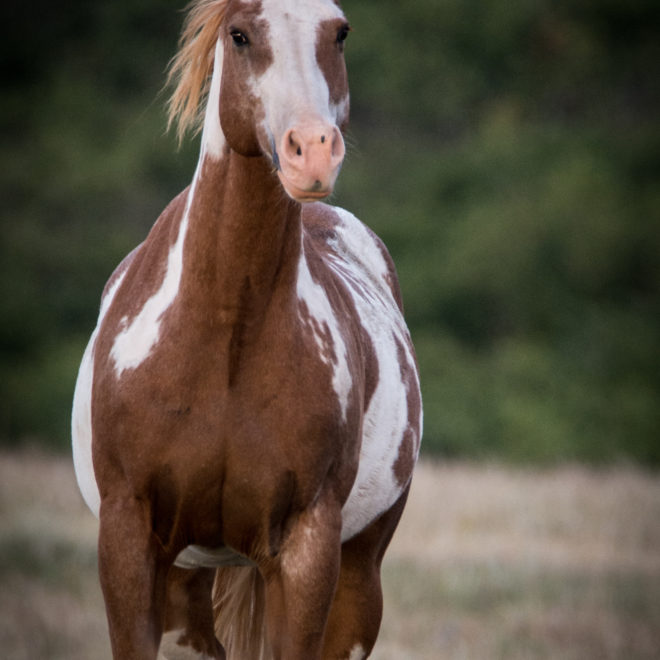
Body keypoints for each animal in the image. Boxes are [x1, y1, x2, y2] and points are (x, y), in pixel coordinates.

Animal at [72, 1, 422, 660]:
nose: (312, 152)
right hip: (187, 578)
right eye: (239, 35)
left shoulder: (307, 550)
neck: (227, 333)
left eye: (340, 32)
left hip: (358, 579)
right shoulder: (129, 537)